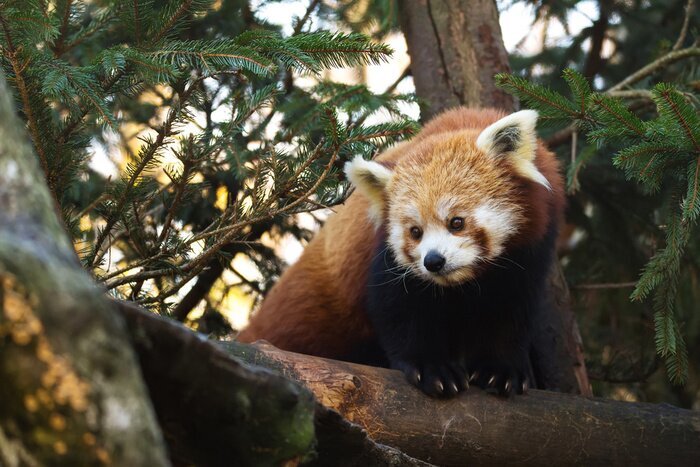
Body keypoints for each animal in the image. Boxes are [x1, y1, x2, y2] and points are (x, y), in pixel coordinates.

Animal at [238, 108, 568, 396]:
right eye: (415, 231)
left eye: (456, 222)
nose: (433, 261)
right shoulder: (382, 255)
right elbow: (399, 310)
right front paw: (432, 368)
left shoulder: (530, 251)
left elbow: (510, 311)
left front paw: (499, 368)